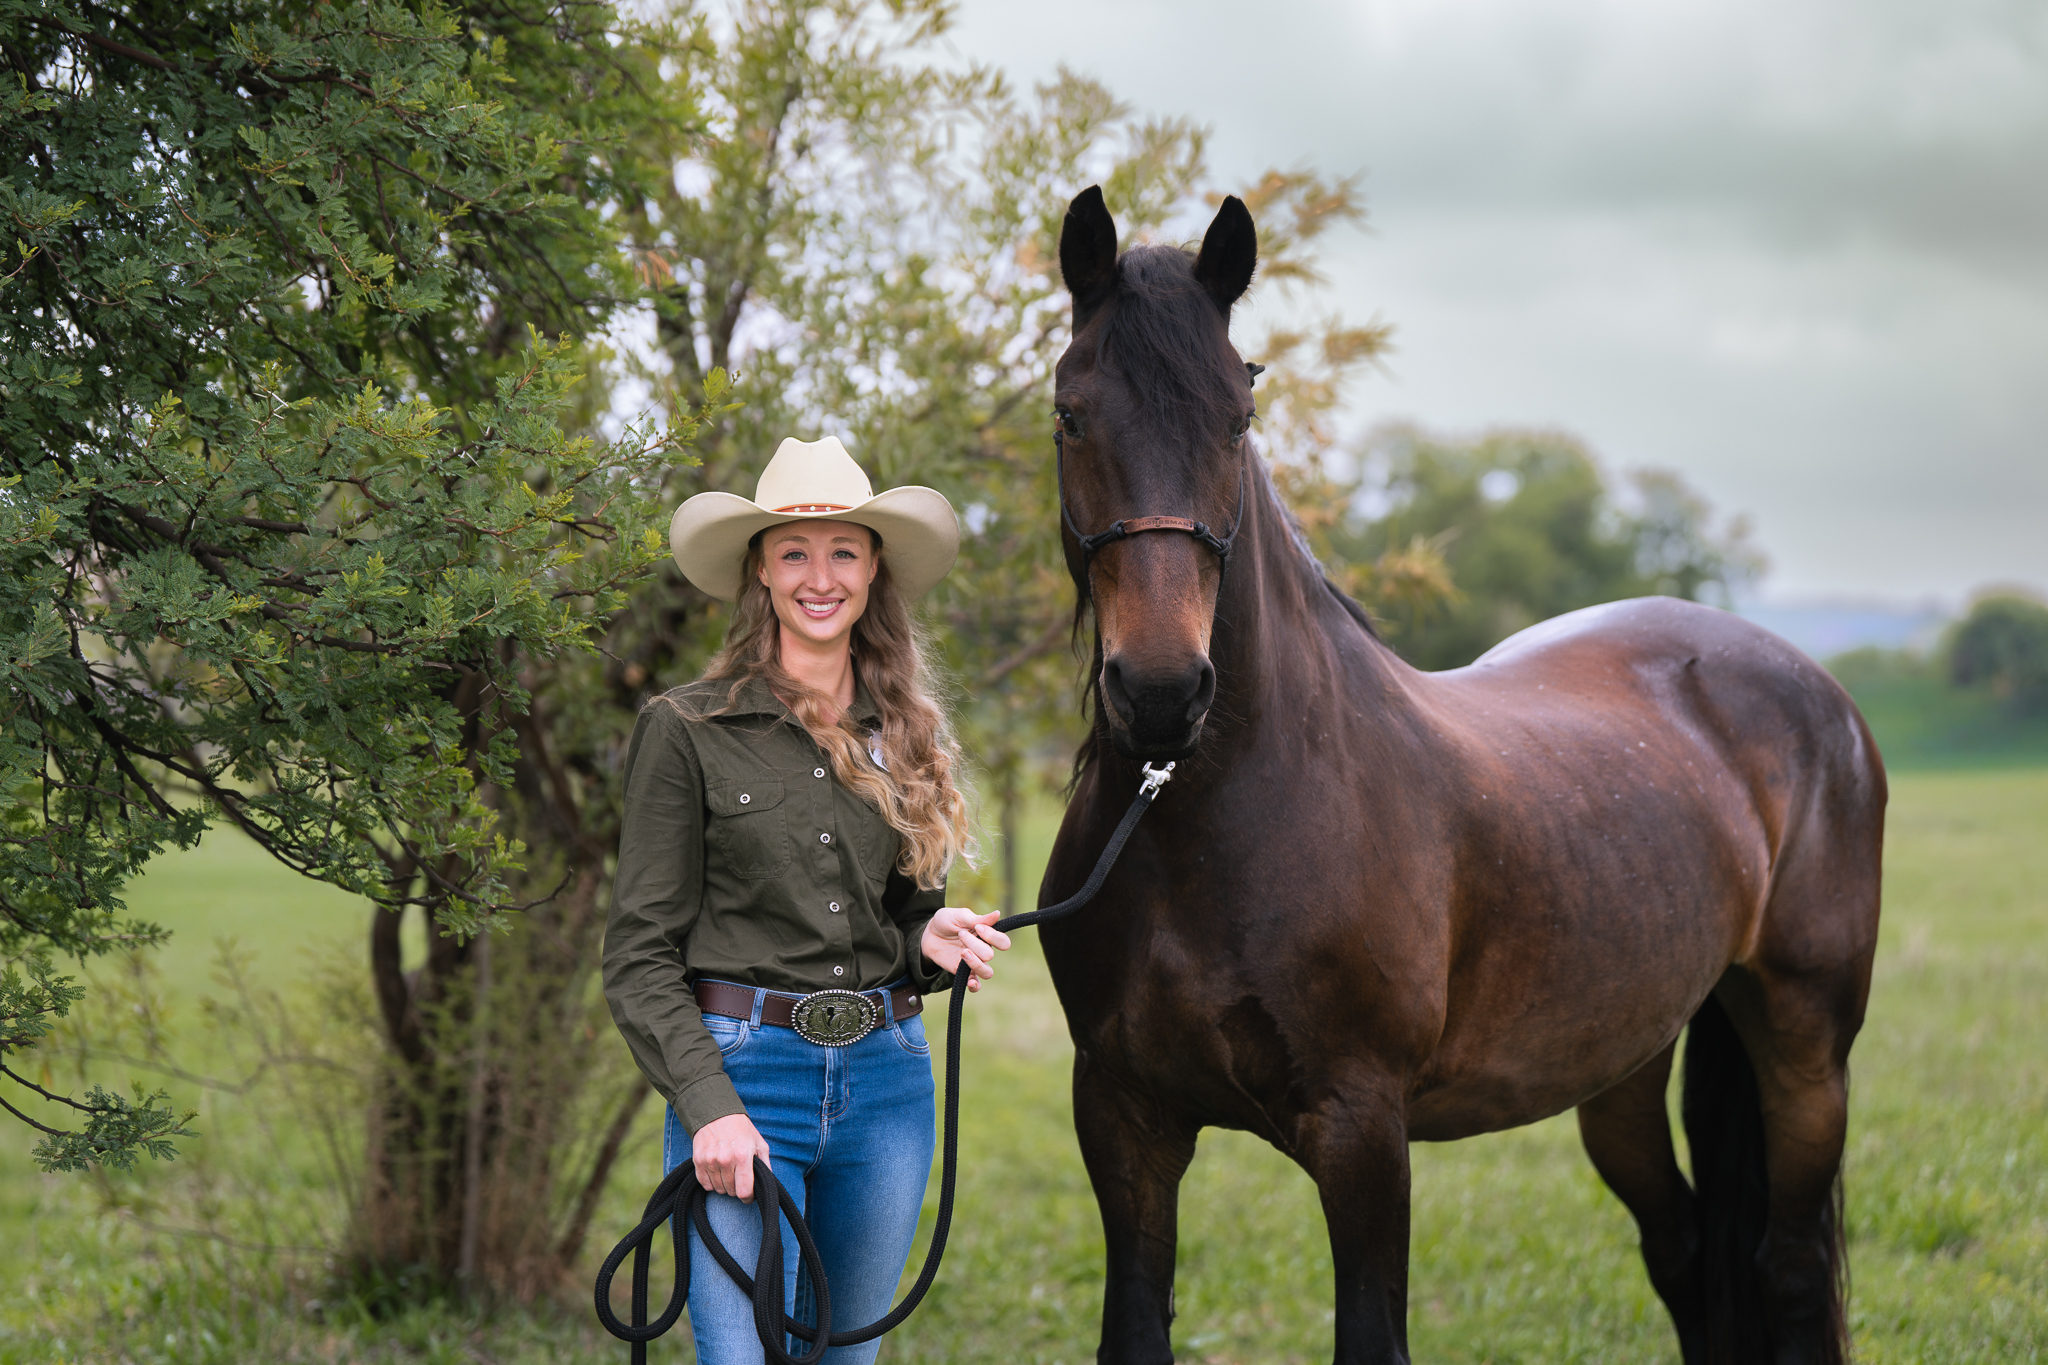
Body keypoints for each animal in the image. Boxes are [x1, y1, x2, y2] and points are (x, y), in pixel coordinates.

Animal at [1034, 185, 1881, 1365]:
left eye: (1237, 420)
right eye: (1071, 415)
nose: (1160, 693)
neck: (1203, 822)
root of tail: (1808, 686)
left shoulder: (1362, 1132)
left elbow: (1370, 1334)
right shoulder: (1123, 1119)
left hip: (1806, 1051)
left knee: (1789, 1269)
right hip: (1624, 1061)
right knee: (1684, 1252)